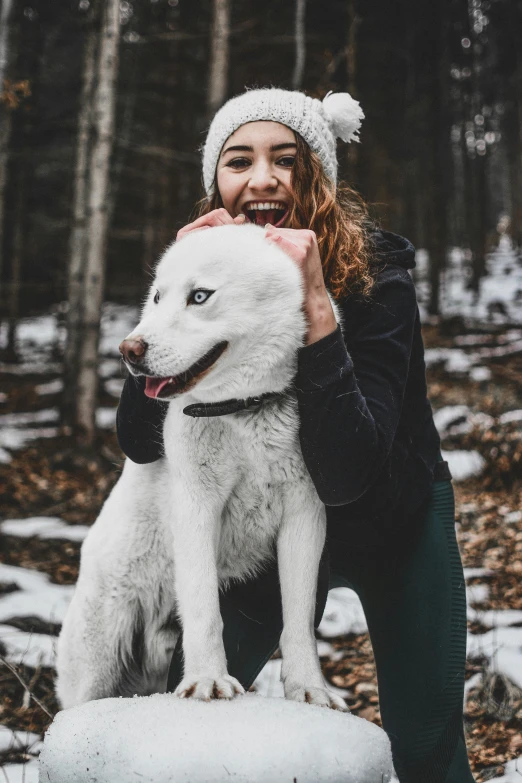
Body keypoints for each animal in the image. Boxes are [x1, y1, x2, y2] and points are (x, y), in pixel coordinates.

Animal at [57, 224, 346, 712]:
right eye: (157, 297)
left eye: (199, 296)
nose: (129, 350)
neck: (242, 410)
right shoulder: (196, 505)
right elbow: (203, 608)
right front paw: (208, 682)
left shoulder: (305, 515)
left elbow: (300, 619)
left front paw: (309, 690)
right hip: (99, 661)